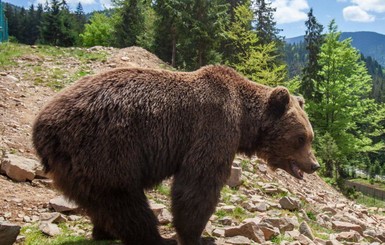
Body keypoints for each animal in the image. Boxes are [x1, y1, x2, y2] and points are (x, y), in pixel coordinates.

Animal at [32, 65, 318, 245]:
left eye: (310, 136)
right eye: (301, 138)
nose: (314, 165)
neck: (245, 119)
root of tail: (42, 127)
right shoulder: (214, 126)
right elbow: (198, 184)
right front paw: (197, 236)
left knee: (102, 202)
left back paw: (103, 232)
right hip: (105, 148)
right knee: (125, 200)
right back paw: (155, 238)